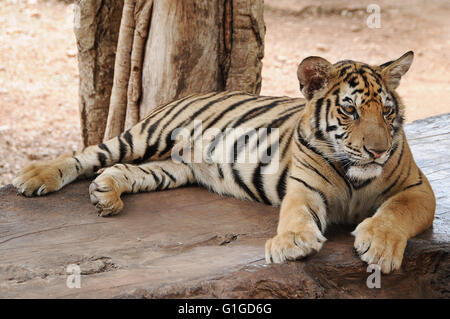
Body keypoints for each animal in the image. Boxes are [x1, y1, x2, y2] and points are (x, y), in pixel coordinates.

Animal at [13, 51, 436, 274]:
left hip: (171, 169)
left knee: (122, 171)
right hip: (145, 135)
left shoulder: (417, 188)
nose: (378, 151)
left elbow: (395, 211)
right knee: (90, 154)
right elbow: (296, 214)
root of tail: (189, 93)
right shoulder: (304, 188)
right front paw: (291, 242)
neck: (355, 176)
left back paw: (106, 195)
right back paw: (34, 176)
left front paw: (378, 245)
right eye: (349, 110)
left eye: (387, 111)